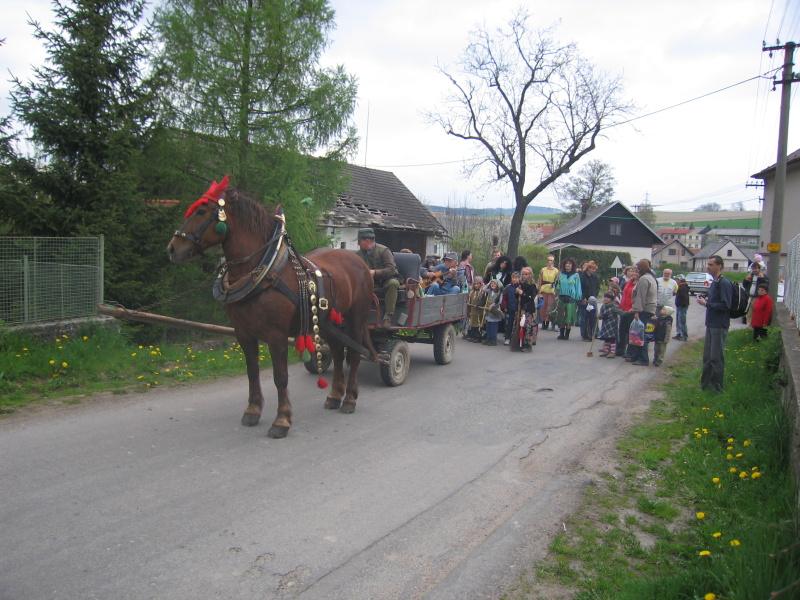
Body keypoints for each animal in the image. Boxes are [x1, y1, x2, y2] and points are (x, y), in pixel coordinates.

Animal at [166, 176, 378, 438]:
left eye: (202, 211)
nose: (172, 248)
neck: (264, 270)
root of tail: (357, 260)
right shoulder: (243, 333)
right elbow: (252, 371)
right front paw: (253, 410)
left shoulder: (276, 335)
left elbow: (280, 376)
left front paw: (282, 420)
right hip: (328, 321)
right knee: (338, 353)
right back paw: (335, 396)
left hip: (356, 317)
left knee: (354, 354)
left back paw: (349, 399)